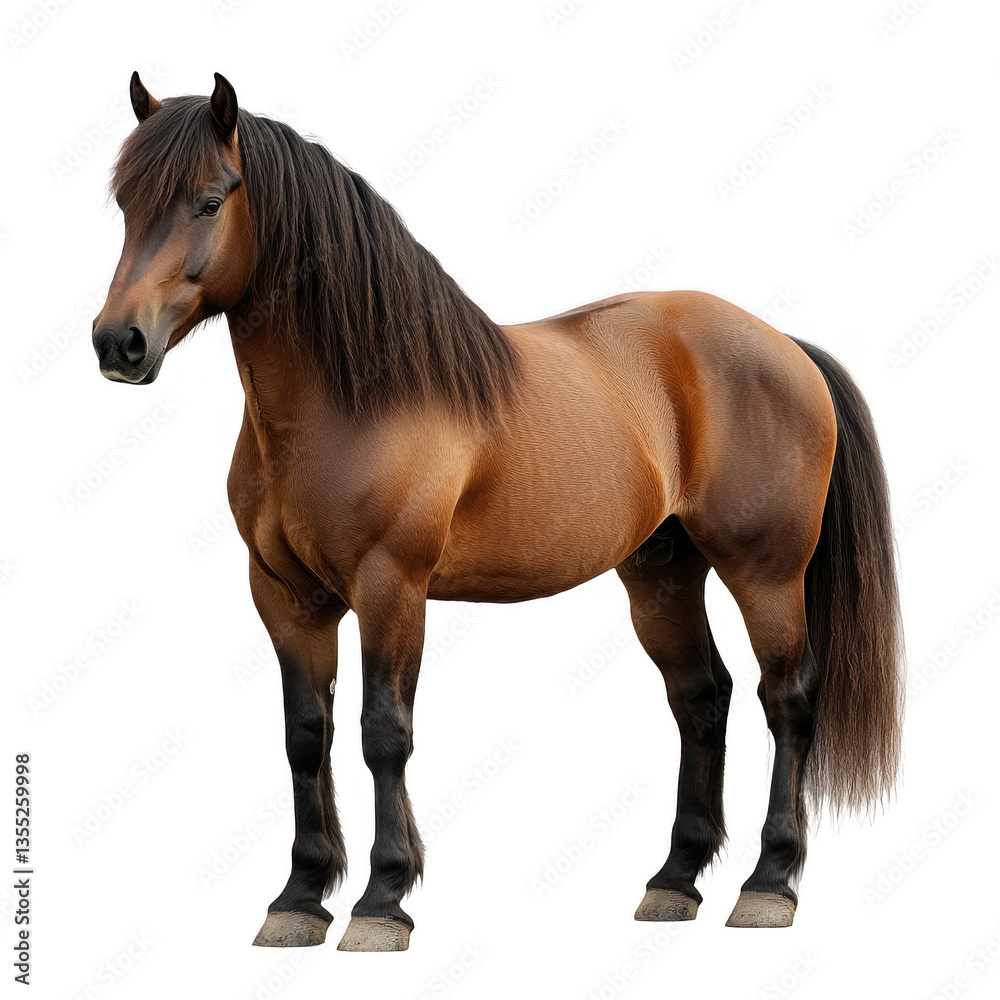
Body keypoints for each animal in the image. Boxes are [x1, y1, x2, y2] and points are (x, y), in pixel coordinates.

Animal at [93, 73, 904, 951]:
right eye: (125, 202)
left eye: (210, 200)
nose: (118, 343)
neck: (355, 396)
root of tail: (785, 346)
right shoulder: (285, 597)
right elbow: (306, 735)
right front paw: (300, 897)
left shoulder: (392, 588)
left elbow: (384, 733)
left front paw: (382, 899)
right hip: (662, 576)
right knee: (702, 698)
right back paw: (674, 881)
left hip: (766, 571)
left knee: (785, 699)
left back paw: (769, 884)